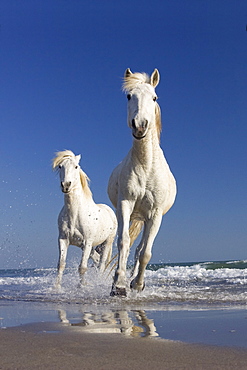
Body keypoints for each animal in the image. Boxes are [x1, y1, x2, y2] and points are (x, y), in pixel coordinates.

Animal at [51, 150, 116, 290]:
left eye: (76, 166)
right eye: (60, 167)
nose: (66, 185)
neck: (75, 214)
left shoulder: (87, 242)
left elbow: (82, 267)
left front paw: (81, 286)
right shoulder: (63, 240)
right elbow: (61, 264)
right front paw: (57, 287)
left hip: (107, 242)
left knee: (102, 263)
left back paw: (98, 281)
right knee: (96, 260)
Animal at [107, 68, 176, 296]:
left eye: (154, 98)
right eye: (129, 96)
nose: (140, 126)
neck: (146, 166)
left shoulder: (155, 214)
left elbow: (145, 253)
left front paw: (136, 284)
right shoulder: (125, 204)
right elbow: (123, 243)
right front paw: (118, 286)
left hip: (146, 219)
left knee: (140, 250)